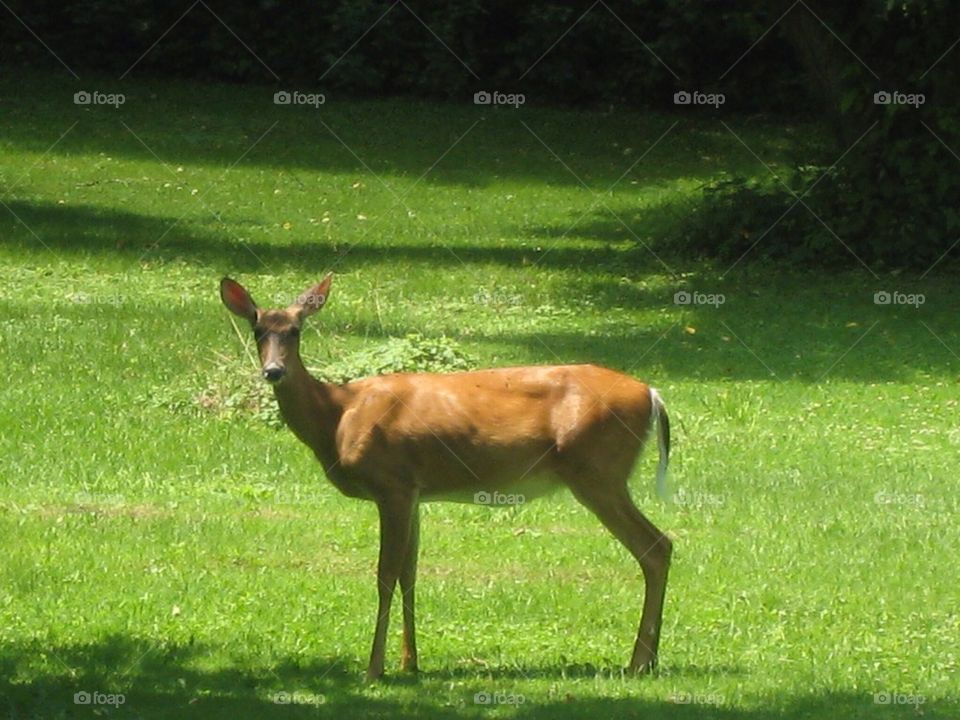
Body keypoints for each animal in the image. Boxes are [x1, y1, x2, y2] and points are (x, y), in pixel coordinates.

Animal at [220, 274, 673, 681]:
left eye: (295, 331)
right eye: (258, 329)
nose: (273, 371)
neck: (337, 415)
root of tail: (652, 394)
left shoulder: (392, 484)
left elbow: (385, 574)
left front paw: (374, 669)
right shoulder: (415, 493)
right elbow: (410, 572)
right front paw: (410, 662)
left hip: (598, 472)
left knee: (655, 545)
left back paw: (638, 662)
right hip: (601, 475)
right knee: (659, 545)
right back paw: (648, 660)